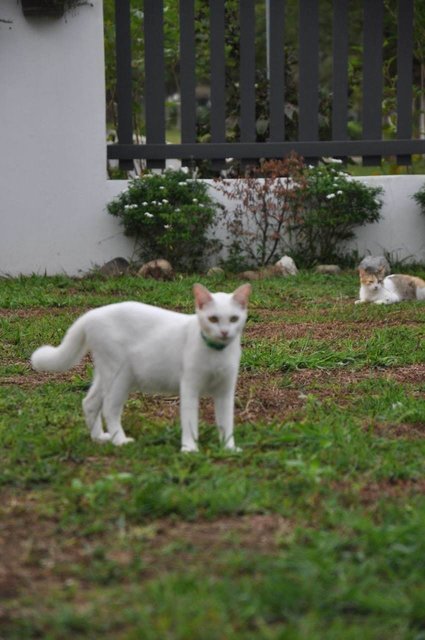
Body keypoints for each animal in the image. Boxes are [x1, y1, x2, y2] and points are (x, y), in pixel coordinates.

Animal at [31, 282, 250, 452]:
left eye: (233, 319)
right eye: (213, 319)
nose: (224, 332)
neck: (217, 352)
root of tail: (92, 314)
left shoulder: (225, 391)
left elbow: (226, 422)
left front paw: (229, 448)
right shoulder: (189, 388)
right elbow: (190, 422)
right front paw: (189, 449)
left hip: (106, 375)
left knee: (90, 402)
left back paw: (99, 438)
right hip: (119, 376)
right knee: (109, 409)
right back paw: (119, 440)